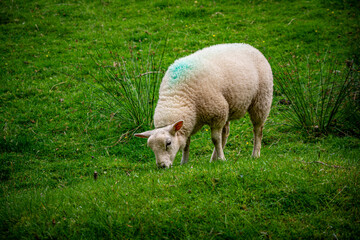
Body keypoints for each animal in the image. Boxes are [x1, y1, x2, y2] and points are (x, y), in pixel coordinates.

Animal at [135, 43, 272, 168]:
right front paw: (184, 162)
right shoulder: (190, 122)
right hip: (228, 106)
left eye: (168, 143)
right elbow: (187, 144)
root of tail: (248, 46)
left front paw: (222, 159)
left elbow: (215, 139)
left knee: (257, 130)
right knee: (225, 133)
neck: (176, 95)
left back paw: (255, 154)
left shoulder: (217, 114)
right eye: (150, 147)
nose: (161, 166)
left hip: (261, 100)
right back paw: (214, 159)